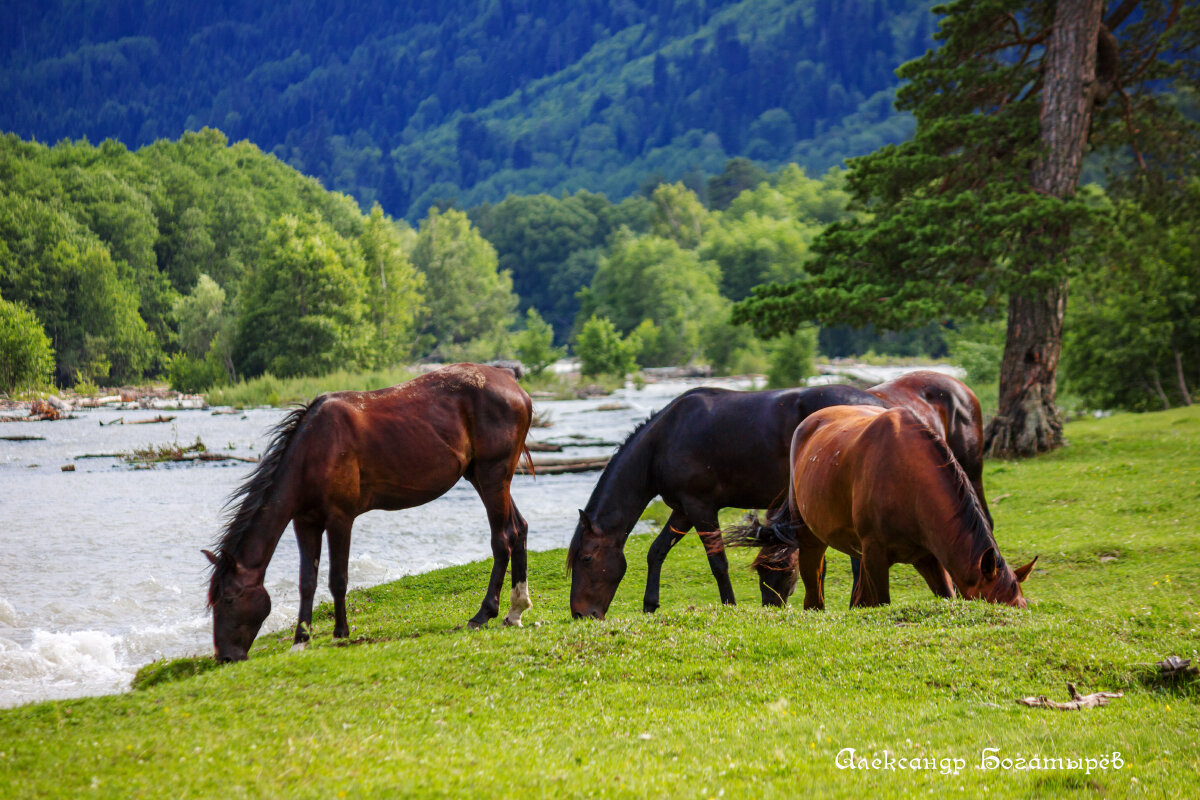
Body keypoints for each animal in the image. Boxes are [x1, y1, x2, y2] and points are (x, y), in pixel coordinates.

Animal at [204, 364, 532, 662]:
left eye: (229, 598)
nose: (226, 657)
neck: (314, 449)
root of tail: (511, 382)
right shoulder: (305, 522)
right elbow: (307, 581)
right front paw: (301, 640)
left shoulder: (340, 519)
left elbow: (337, 578)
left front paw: (340, 633)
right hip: (481, 477)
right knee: (519, 530)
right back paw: (516, 610)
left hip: (492, 476)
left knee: (502, 539)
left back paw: (483, 613)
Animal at [566, 369, 988, 618]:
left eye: (586, 558)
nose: (580, 614)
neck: (664, 439)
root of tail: (881, 403)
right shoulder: (683, 509)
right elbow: (657, 552)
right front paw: (650, 605)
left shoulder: (702, 507)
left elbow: (717, 562)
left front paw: (730, 605)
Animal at [753, 402, 1036, 609]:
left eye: (1020, 609)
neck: (908, 479)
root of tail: (809, 422)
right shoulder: (876, 555)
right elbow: (881, 602)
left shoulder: (928, 557)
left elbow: (946, 594)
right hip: (812, 540)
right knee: (814, 597)